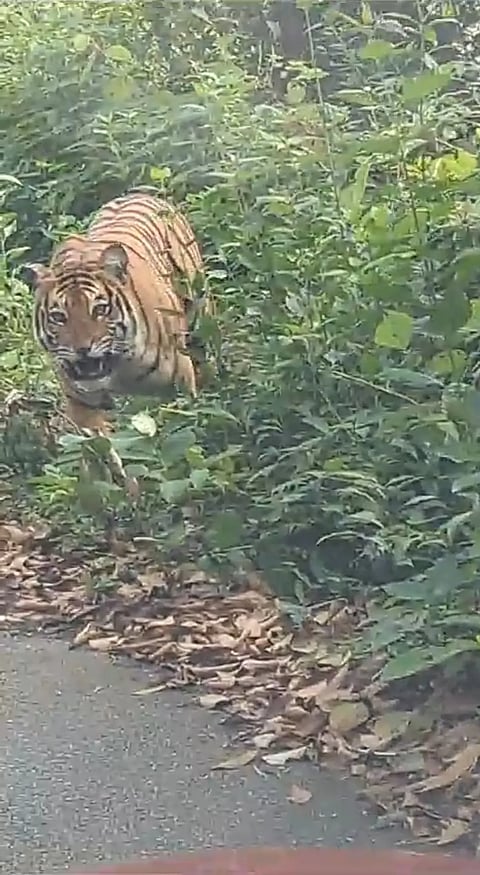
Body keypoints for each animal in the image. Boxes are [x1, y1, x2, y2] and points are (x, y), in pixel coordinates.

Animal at [27, 189, 210, 437]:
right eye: (58, 317)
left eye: (100, 309)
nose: (82, 350)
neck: (119, 372)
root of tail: (141, 193)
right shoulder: (81, 402)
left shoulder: (180, 382)